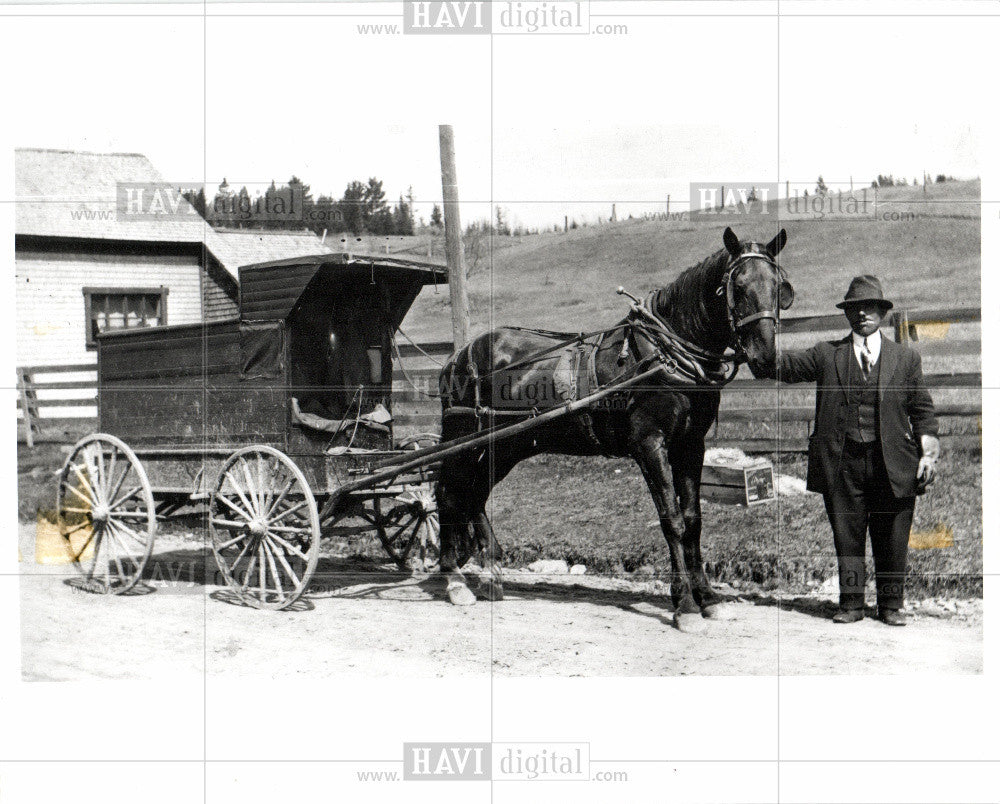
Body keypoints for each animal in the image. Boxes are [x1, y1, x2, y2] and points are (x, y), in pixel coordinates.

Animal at [434, 226, 792, 636]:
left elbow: (693, 521)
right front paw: (685, 604)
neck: (662, 356)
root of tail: (458, 356)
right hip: (463, 440)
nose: (765, 356)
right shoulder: (649, 444)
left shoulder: (690, 445)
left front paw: (708, 598)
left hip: (506, 446)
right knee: (448, 493)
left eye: (778, 286)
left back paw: (491, 573)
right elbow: (671, 520)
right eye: (739, 286)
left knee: (474, 495)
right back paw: (454, 578)